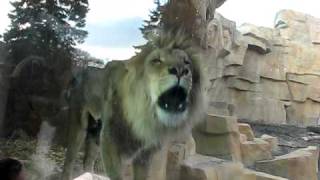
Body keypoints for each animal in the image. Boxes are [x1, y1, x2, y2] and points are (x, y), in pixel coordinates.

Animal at [60, 30, 205, 179]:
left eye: (187, 62)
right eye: (157, 61)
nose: (181, 70)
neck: (146, 117)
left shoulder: (146, 152)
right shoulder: (110, 139)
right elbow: (116, 175)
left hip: (95, 131)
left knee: (88, 161)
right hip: (79, 125)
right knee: (69, 160)